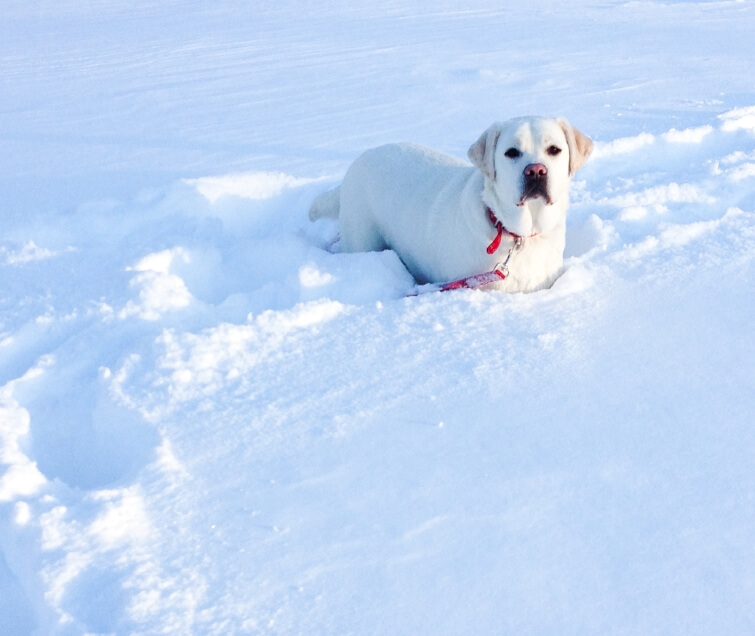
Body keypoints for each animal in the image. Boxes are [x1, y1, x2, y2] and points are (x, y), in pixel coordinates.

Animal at [310, 117, 592, 294]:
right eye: (511, 152)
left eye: (554, 149)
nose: (536, 171)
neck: (518, 234)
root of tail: (359, 159)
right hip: (362, 238)